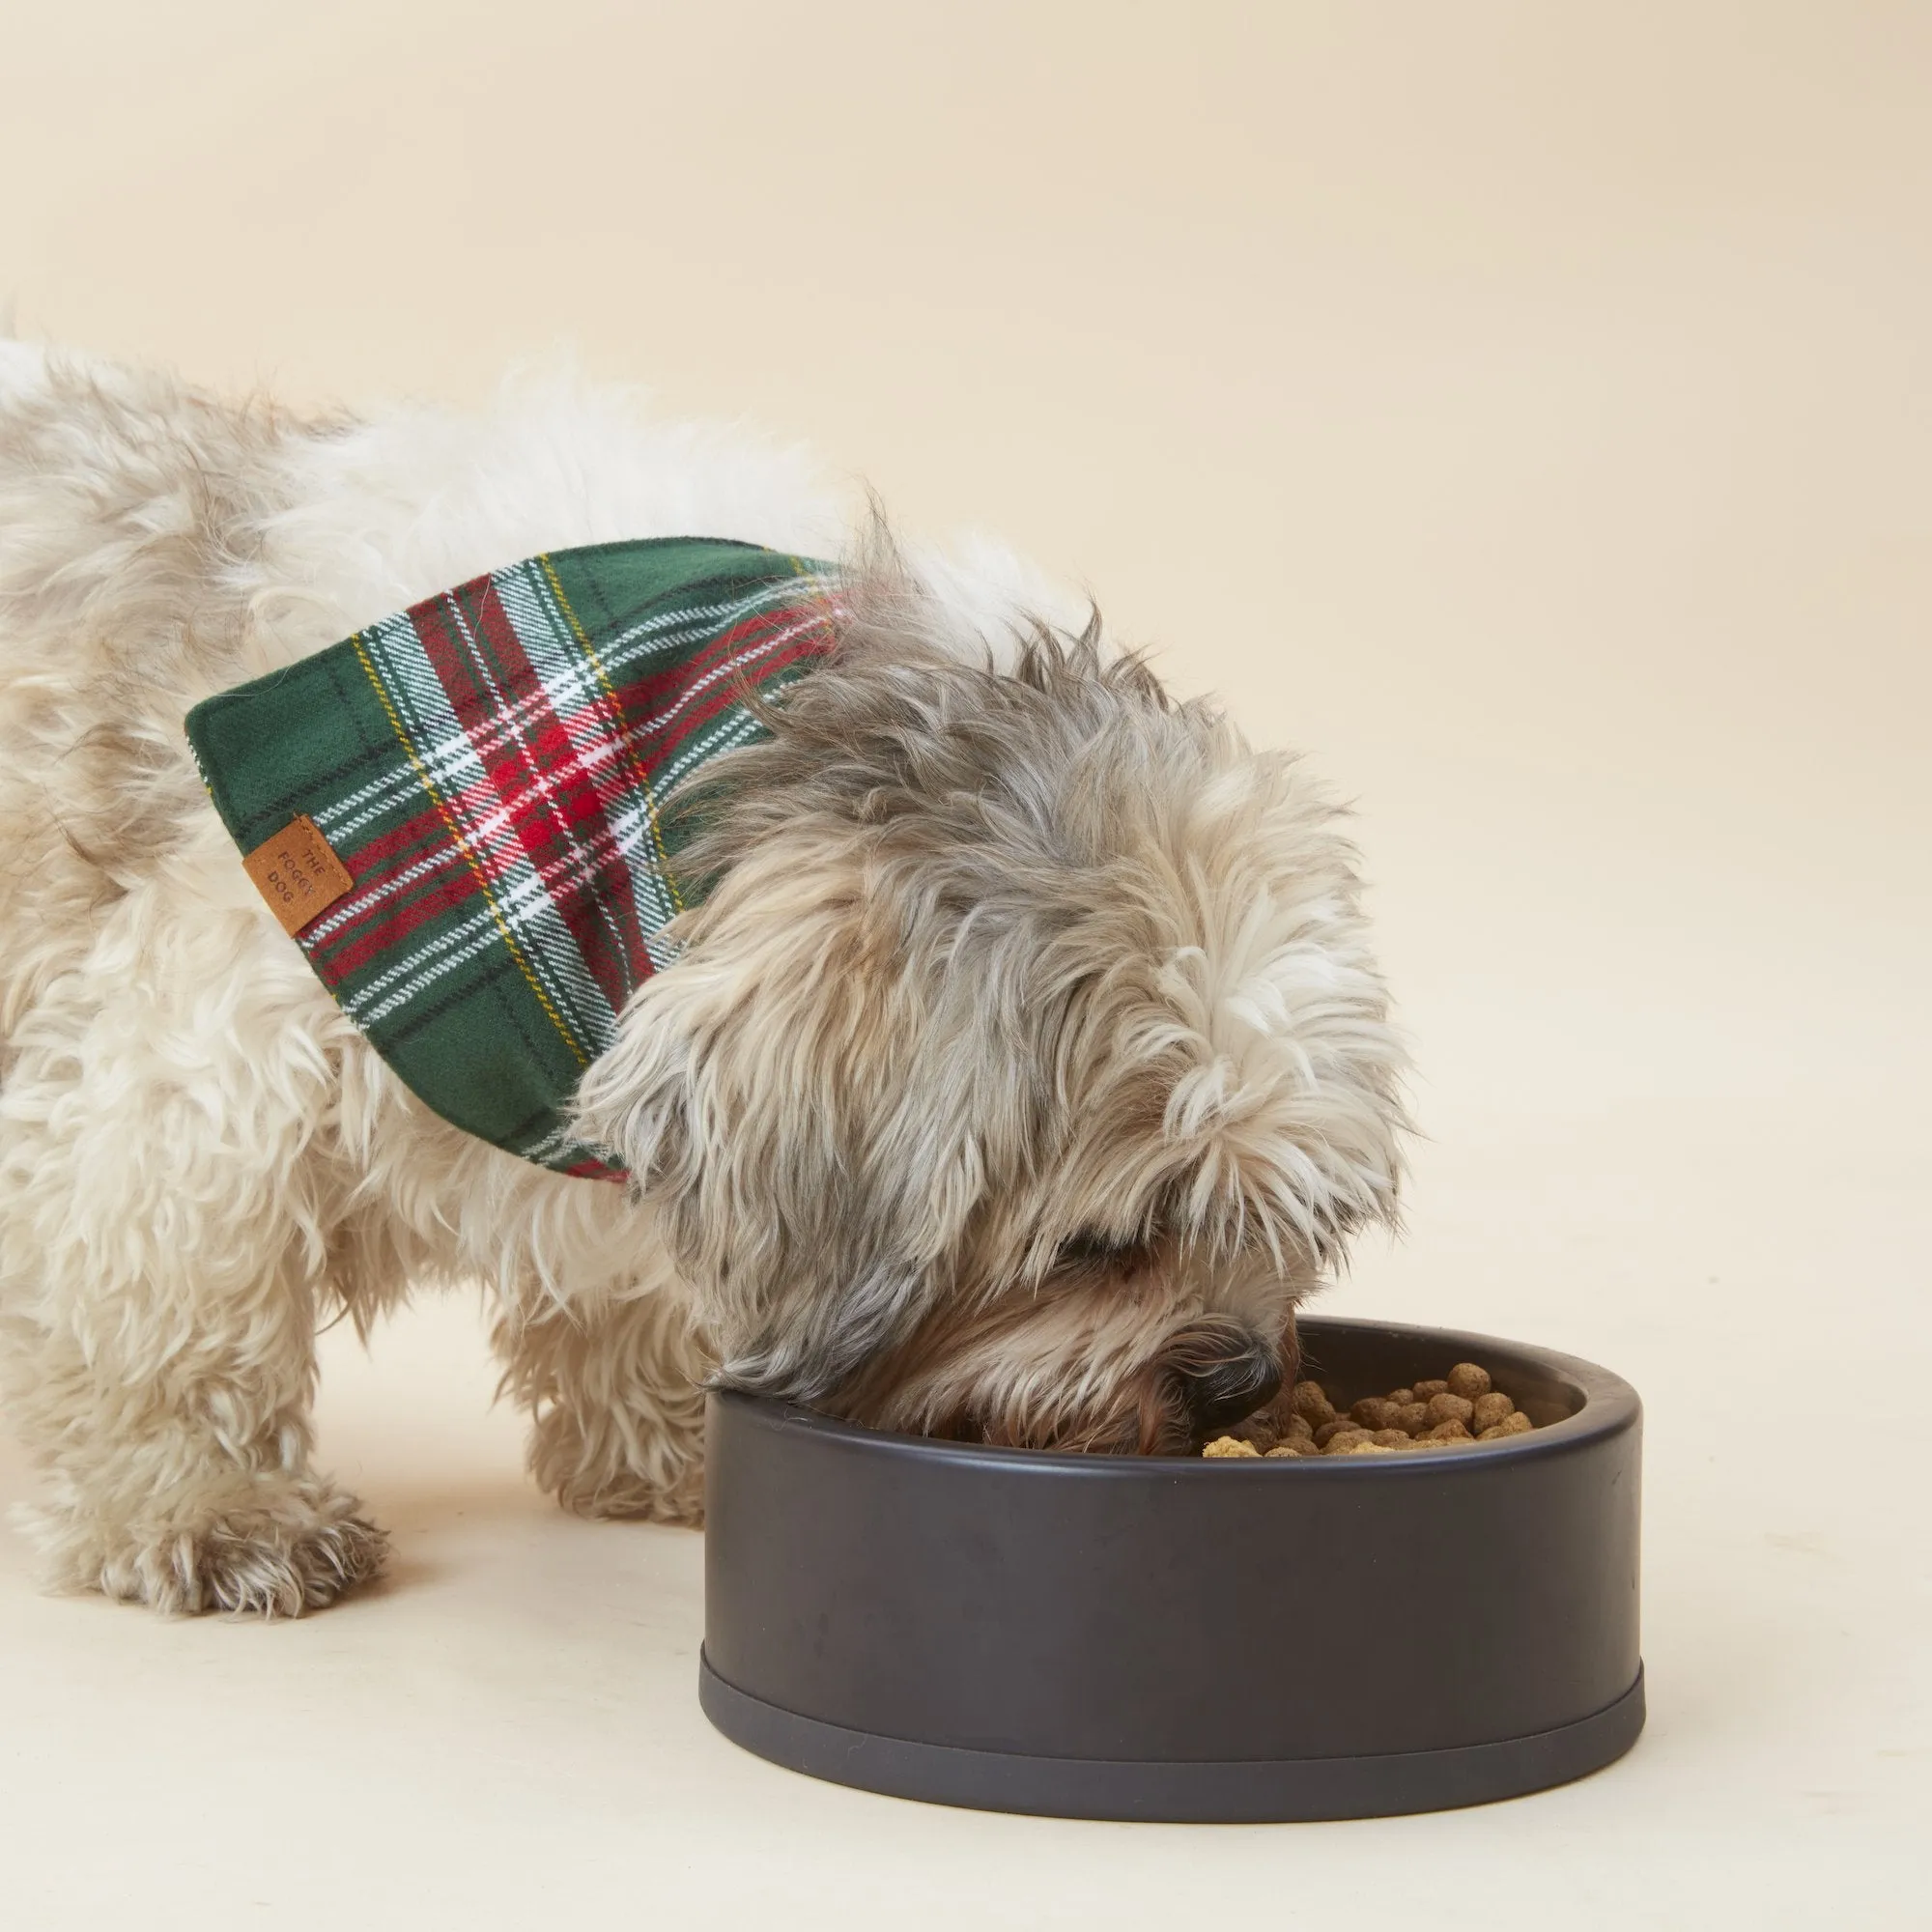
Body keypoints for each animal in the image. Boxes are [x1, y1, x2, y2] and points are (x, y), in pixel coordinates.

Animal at [0, 344, 1406, 1615]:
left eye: (1290, 1222)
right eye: (1099, 1245)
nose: (1237, 1379)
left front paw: (671, 1433)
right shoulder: (201, 1077)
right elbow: (179, 1314)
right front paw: (205, 1502)